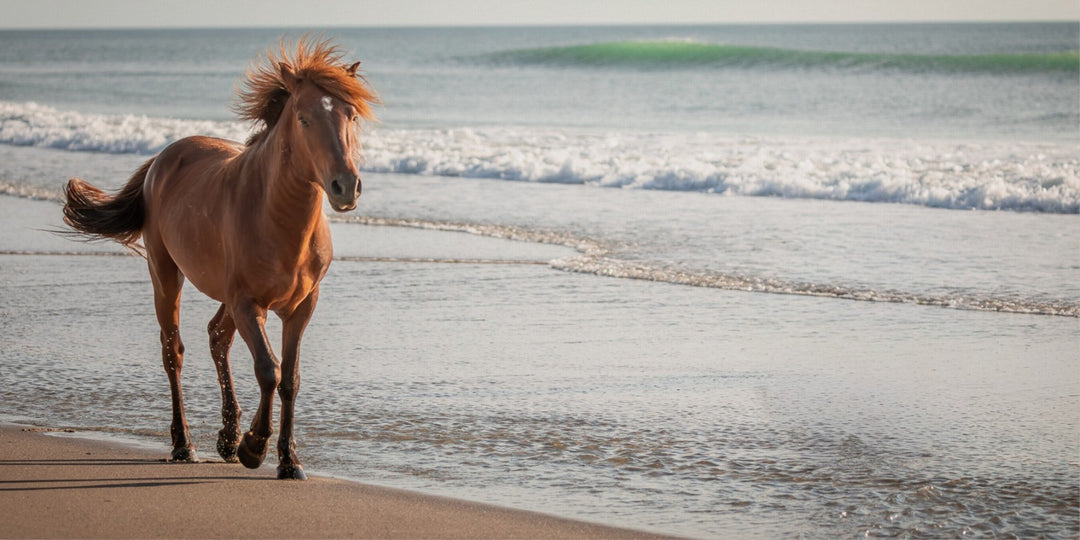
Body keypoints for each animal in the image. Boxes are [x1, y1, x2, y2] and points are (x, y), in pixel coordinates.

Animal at [61, 38, 378, 479]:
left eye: (351, 114)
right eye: (304, 118)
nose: (345, 186)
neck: (278, 220)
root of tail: (163, 158)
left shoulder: (301, 306)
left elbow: (290, 378)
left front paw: (287, 460)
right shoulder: (248, 304)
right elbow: (268, 369)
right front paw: (254, 447)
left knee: (216, 337)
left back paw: (226, 438)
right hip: (166, 276)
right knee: (173, 352)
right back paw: (185, 444)